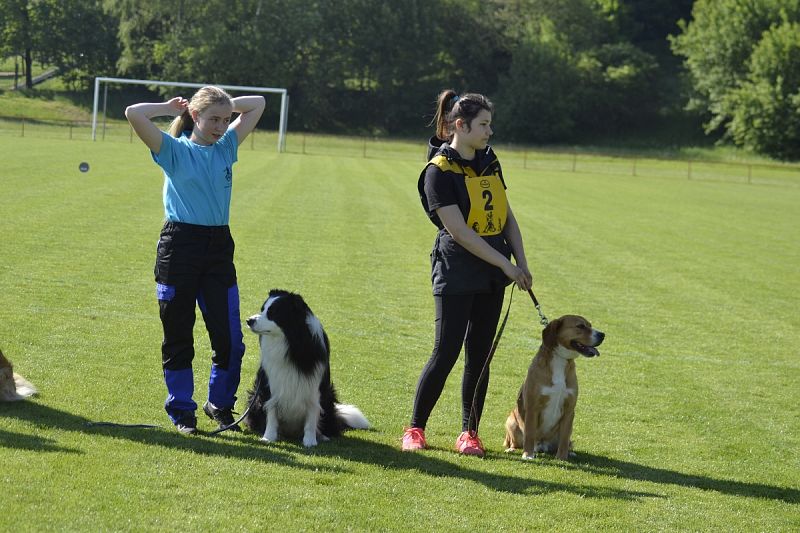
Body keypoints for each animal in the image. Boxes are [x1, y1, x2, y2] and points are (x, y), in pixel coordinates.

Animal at [242, 288, 370, 446]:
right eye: (262, 309)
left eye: (272, 313)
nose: (249, 320)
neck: (290, 343)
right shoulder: (270, 383)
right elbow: (271, 409)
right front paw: (268, 437)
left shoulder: (314, 386)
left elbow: (311, 414)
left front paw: (310, 441)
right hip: (254, 396)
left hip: (329, 397)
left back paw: (322, 435)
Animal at [504, 314, 604, 460]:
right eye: (580, 326)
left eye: (590, 325)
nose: (602, 335)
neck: (560, 360)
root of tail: (541, 446)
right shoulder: (533, 407)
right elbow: (529, 433)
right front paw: (528, 454)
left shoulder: (569, 409)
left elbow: (564, 438)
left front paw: (562, 457)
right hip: (511, 421)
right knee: (513, 442)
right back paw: (512, 449)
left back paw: (570, 452)